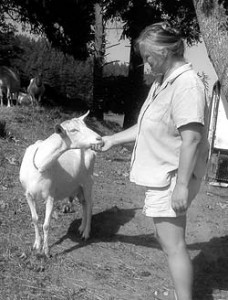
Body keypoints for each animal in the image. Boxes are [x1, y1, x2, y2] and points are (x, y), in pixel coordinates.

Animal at [19, 111, 101, 256]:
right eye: (73, 130)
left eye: (85, 125)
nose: (99, 138)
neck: (40, 164)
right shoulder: (28, 194)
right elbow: (35, 219)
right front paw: (36, 245)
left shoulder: (50, 195)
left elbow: (46, 224)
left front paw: (46, 251)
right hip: (78, 187)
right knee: (84, 204)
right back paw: (81, 228)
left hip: (88, 182)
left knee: (90, 204)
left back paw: (86, 233)